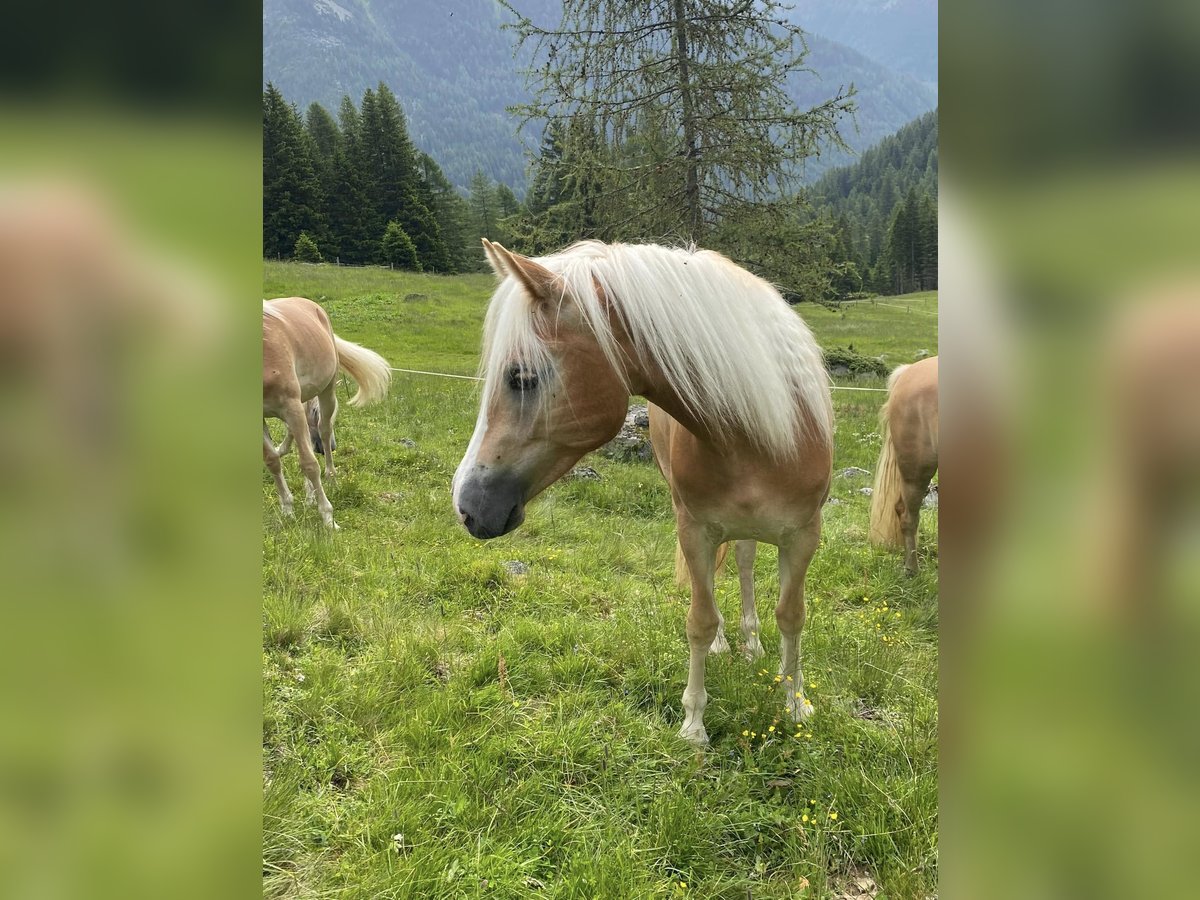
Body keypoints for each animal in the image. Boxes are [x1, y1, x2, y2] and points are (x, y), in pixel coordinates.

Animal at [264, 300, 391, 528]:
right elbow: (272, 460)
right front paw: (287, 510)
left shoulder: (291, 407)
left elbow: (310, 464)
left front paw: (328, 518)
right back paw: (309, 495)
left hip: (326, 393)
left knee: (323, 431)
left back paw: (330, 479)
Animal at [453, 240, 830, 748]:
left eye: (522, 377)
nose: (466, 505)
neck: (756, 436)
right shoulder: (695, 530)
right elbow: (700, 620)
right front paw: (694, 725)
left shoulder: (804, 535)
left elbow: (792, 616)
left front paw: (795, 704)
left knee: (746, 564)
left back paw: (751, 644)